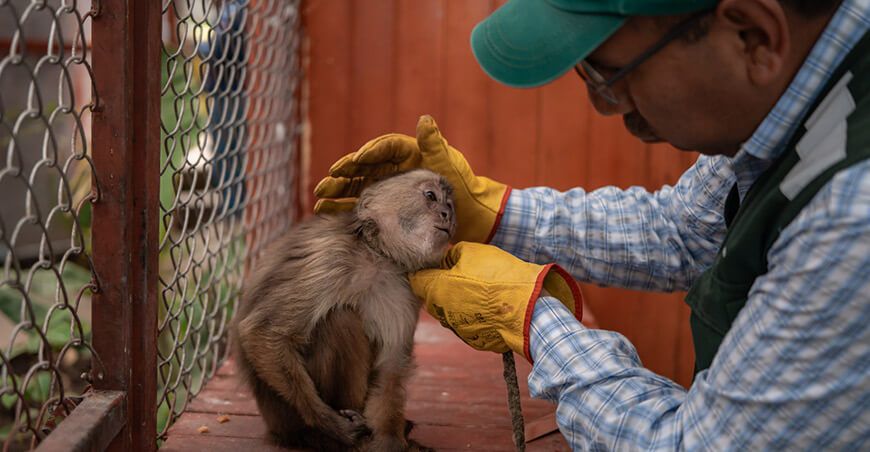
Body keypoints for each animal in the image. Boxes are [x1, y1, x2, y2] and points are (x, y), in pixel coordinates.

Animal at [232, 169, 455, 451]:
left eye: (450, 203)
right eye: (430, 196)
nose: (448, 214)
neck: (377, 255)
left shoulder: (404, 287)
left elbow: (391, 366)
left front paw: (390, 441)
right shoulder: (332, 257)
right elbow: (262, 332)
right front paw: (330, 423)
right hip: (284, 416)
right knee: (340, 319)